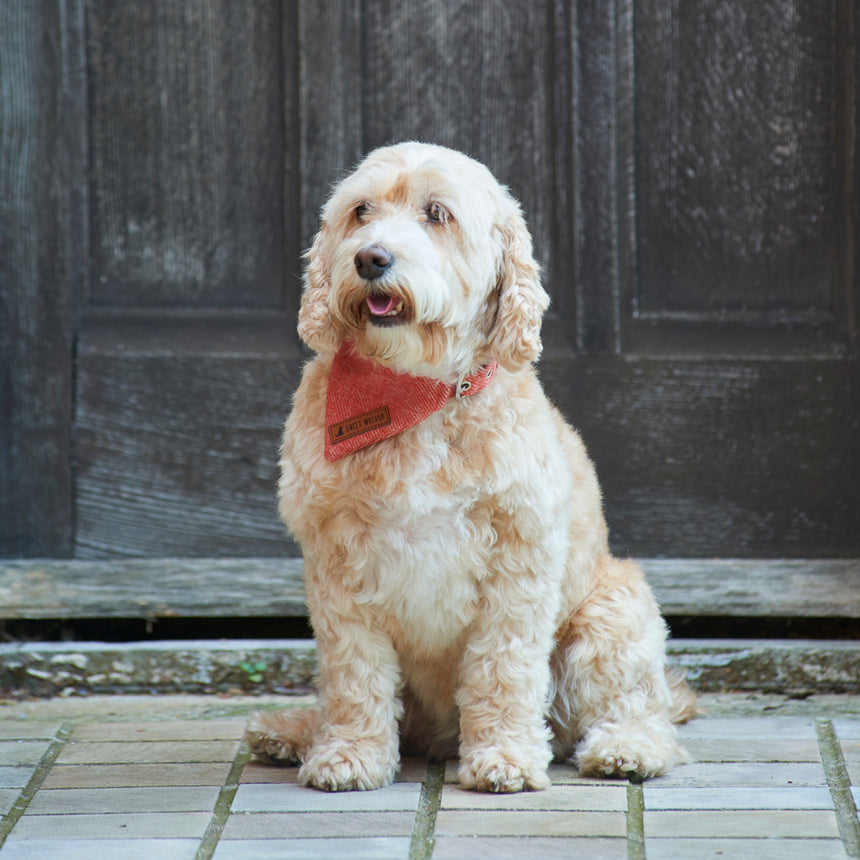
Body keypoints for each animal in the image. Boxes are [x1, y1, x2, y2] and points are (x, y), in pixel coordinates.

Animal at [245, 141, 696, 792]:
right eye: (360, 211)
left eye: (438, 213)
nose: (370, 257)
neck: (418, 395)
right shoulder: (337, 565)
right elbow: (353, 672)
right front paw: (349, 754)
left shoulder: (518, 561)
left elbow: (502, 668)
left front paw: (504, 756)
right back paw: (291, 731)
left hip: (614, 611)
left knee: (638, 708)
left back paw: (627, 747)